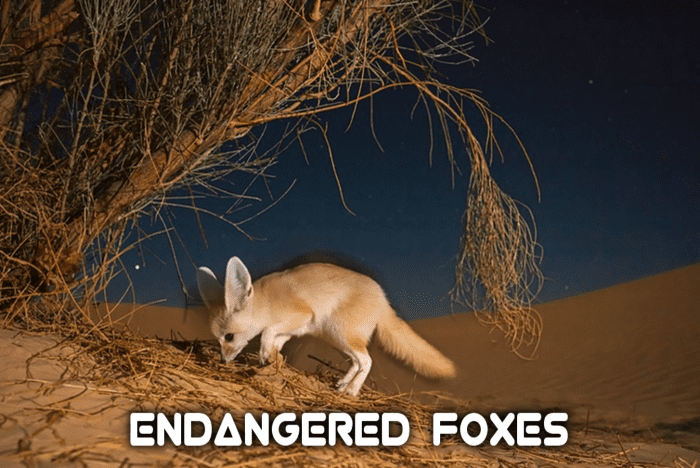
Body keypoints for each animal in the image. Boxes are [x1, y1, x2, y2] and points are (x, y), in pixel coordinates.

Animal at [196, 256, 456, 397]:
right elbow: (275, 341)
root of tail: (384, 300)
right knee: (357, 362)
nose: (223, 360)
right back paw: (342, 384)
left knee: (367, 361)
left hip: (341, 334)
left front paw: (264, 355)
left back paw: (351, 391)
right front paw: (271, 360)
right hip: (336, 339)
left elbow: (268, 332)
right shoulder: (294, 329)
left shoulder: (301, 315)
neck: (264, 302)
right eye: (218, 339)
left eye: (229, 337)